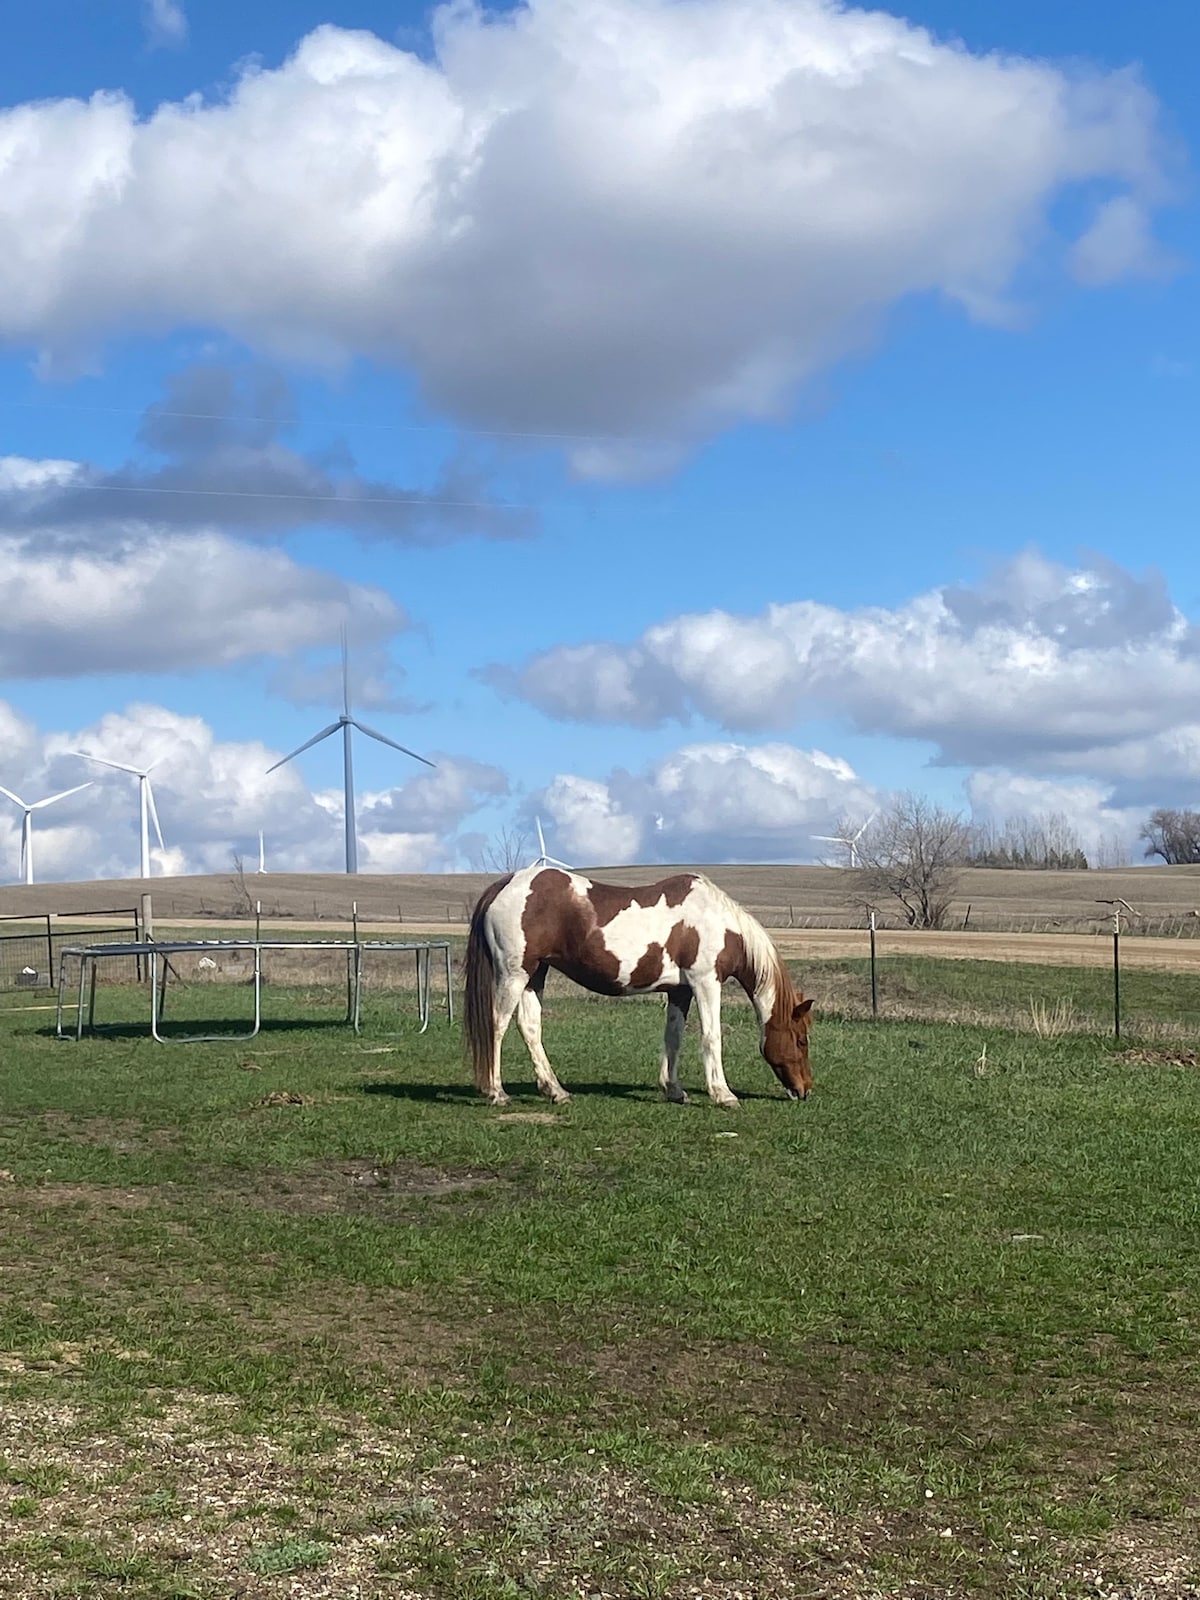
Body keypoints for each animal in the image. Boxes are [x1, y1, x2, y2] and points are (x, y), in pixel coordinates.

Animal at [464, 864, 812, 1113]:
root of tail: (504, 885)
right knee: (497, 1026)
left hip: (535, 974)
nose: (805, 1089)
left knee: (530, 1027)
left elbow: (673, 1038)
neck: (717, 922)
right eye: (801, 1040)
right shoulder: (706, 982)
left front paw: (674, 1090)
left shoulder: (680, 991)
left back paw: (556, 1091)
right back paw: (497, 1092)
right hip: (514, 973)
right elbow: (712, 1037)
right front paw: (723, 1095)